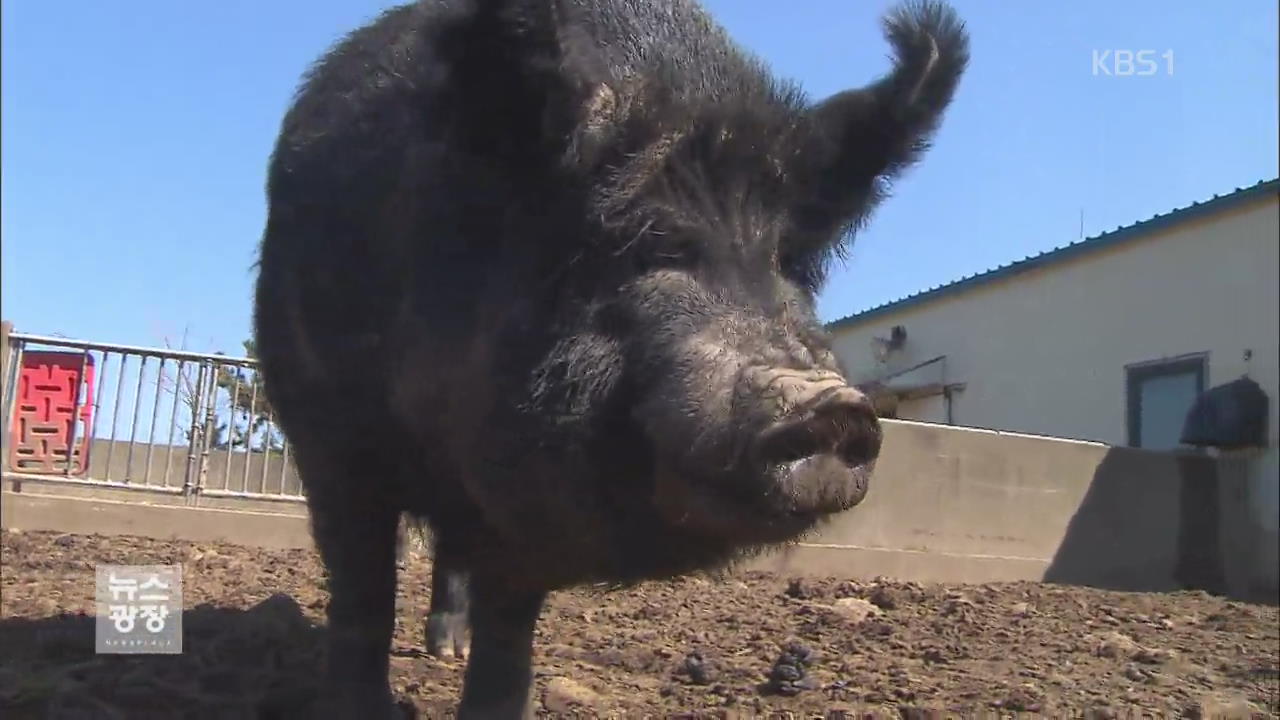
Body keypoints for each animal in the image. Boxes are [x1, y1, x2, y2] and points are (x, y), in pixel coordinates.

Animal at [252, 0, 967, 712]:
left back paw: (448, 651)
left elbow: (510, 620)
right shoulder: (330, 435)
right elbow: (363, 586)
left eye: (789, 262)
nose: (833, 405)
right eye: (643, 244)